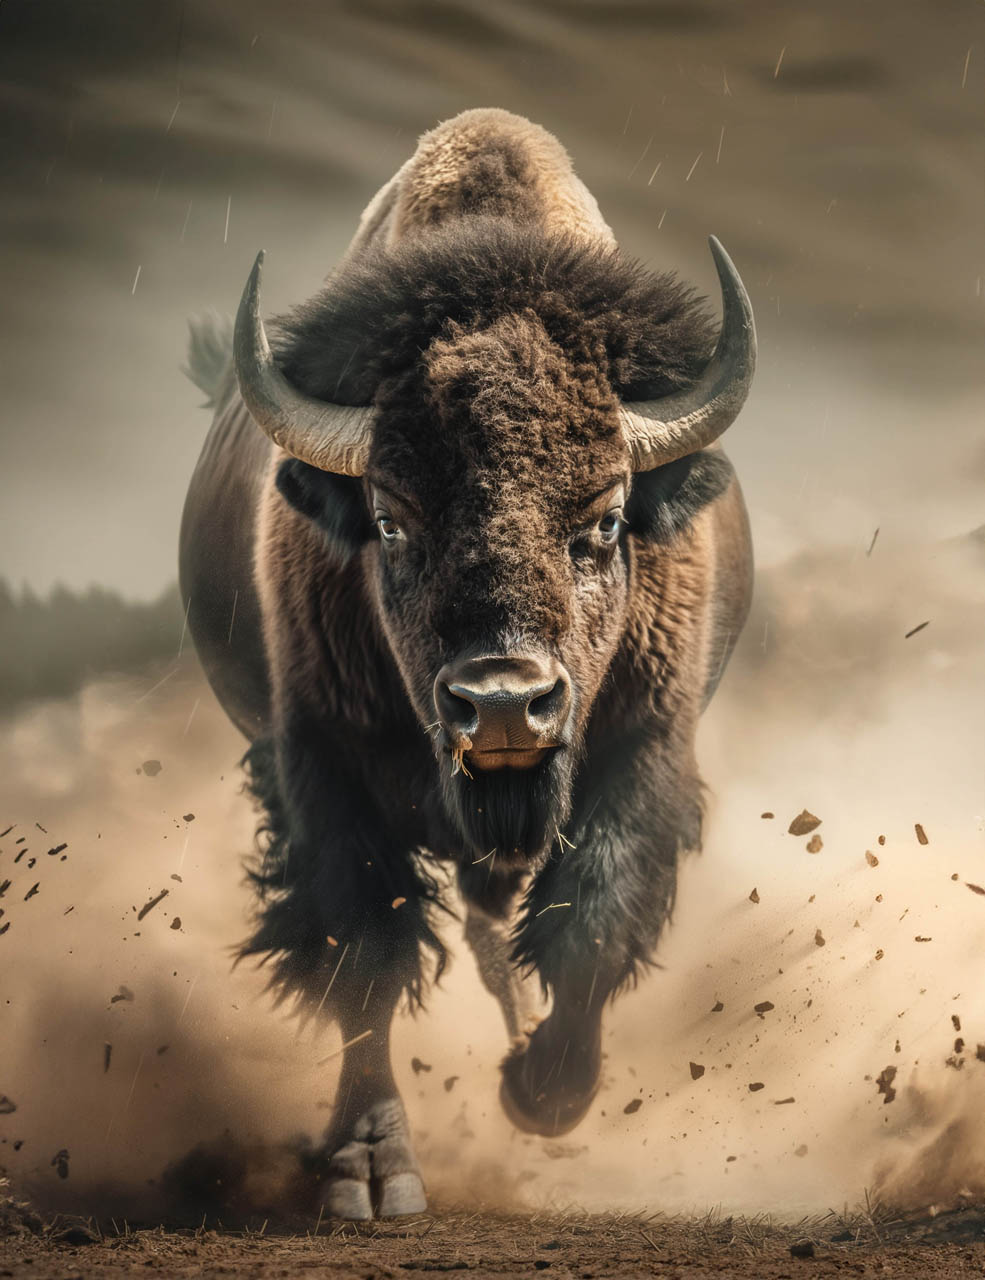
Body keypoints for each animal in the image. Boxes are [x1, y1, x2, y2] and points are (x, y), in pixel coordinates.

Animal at [179, 108, 756, 1218]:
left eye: (606, 517)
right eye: (390, 521)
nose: (500, 707)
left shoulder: (641, 750)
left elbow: (592, 917)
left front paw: (543, 1093)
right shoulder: (324, 771)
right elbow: (365, 952)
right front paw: (370, 1170)